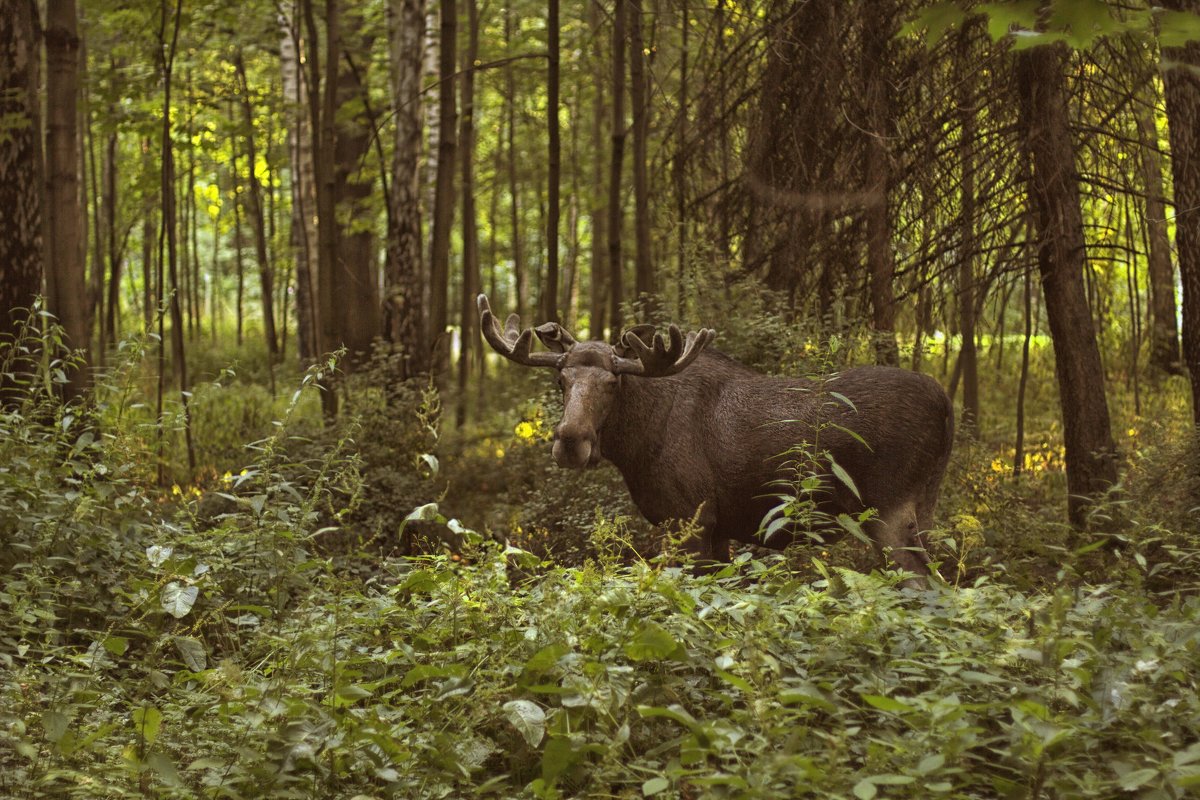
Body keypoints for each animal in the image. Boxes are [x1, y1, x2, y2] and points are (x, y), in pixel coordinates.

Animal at [477, 293, 955, 587]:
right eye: (561, 379)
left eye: (614, 382)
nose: (570, 442)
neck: (637, 447)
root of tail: (948, 406)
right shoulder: (721, 528)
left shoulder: (691, 519)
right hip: (924, 508)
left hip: (888, 509)